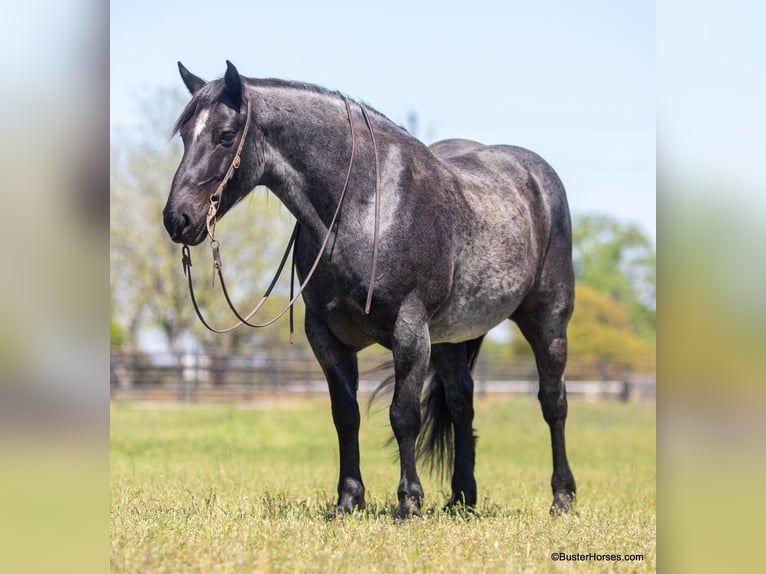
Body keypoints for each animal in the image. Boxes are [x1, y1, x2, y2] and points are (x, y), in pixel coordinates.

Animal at [165, 60, 580, 520]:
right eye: (185, 135)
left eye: (224, 135)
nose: (178, 219)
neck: (366, 206)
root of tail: (537, 177)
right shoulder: (325, 335)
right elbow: (345, 415)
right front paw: (348, 500)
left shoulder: (410, 330)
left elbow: (403, 415)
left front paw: (409, 502)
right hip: (452, 339)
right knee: (462, 403)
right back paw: (461, 498)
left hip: (548, 321)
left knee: (553, 401)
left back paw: (562, 497)